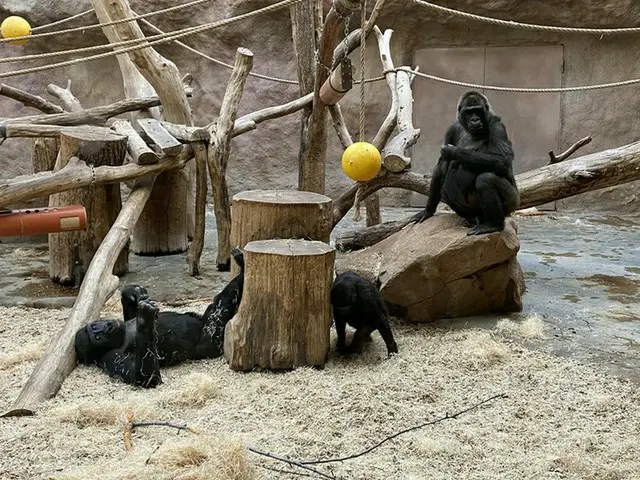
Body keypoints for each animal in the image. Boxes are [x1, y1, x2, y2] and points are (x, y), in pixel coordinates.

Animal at [74, 248, 245, 386]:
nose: (106, 327)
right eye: (97, 337)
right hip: (213, 339)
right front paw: (145, 319)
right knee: (225, 300)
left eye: (95, 326)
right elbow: (144, 377)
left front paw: (132, 293)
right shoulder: (110, 358)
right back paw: (243, 270)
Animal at [416, 91, 520, 235]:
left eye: (478, 110)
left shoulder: (497, 125)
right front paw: (428, 210)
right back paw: (475, 219)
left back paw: (494, 225)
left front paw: (453, 152)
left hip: (513, 203)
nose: (475, 120)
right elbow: (441, 167)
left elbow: (502, 159)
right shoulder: (452, 129)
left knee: (486, 179)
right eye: (469, 112)